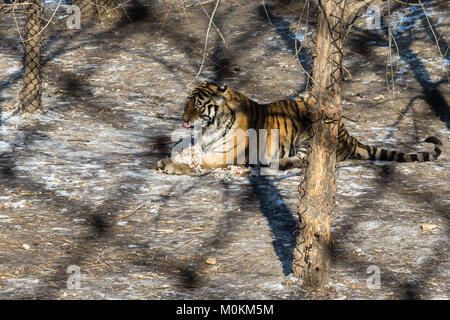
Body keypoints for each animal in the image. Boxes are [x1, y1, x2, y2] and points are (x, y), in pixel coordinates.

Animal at [156, 81, 442, 174]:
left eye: (198, 105)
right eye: (187, 102)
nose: (183, 118)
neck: (209, 127)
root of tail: (347, 134)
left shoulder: (224, 155)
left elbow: (200, 163)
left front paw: (171, 166)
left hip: (309, 134)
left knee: (305, 161)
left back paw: (277, 164)